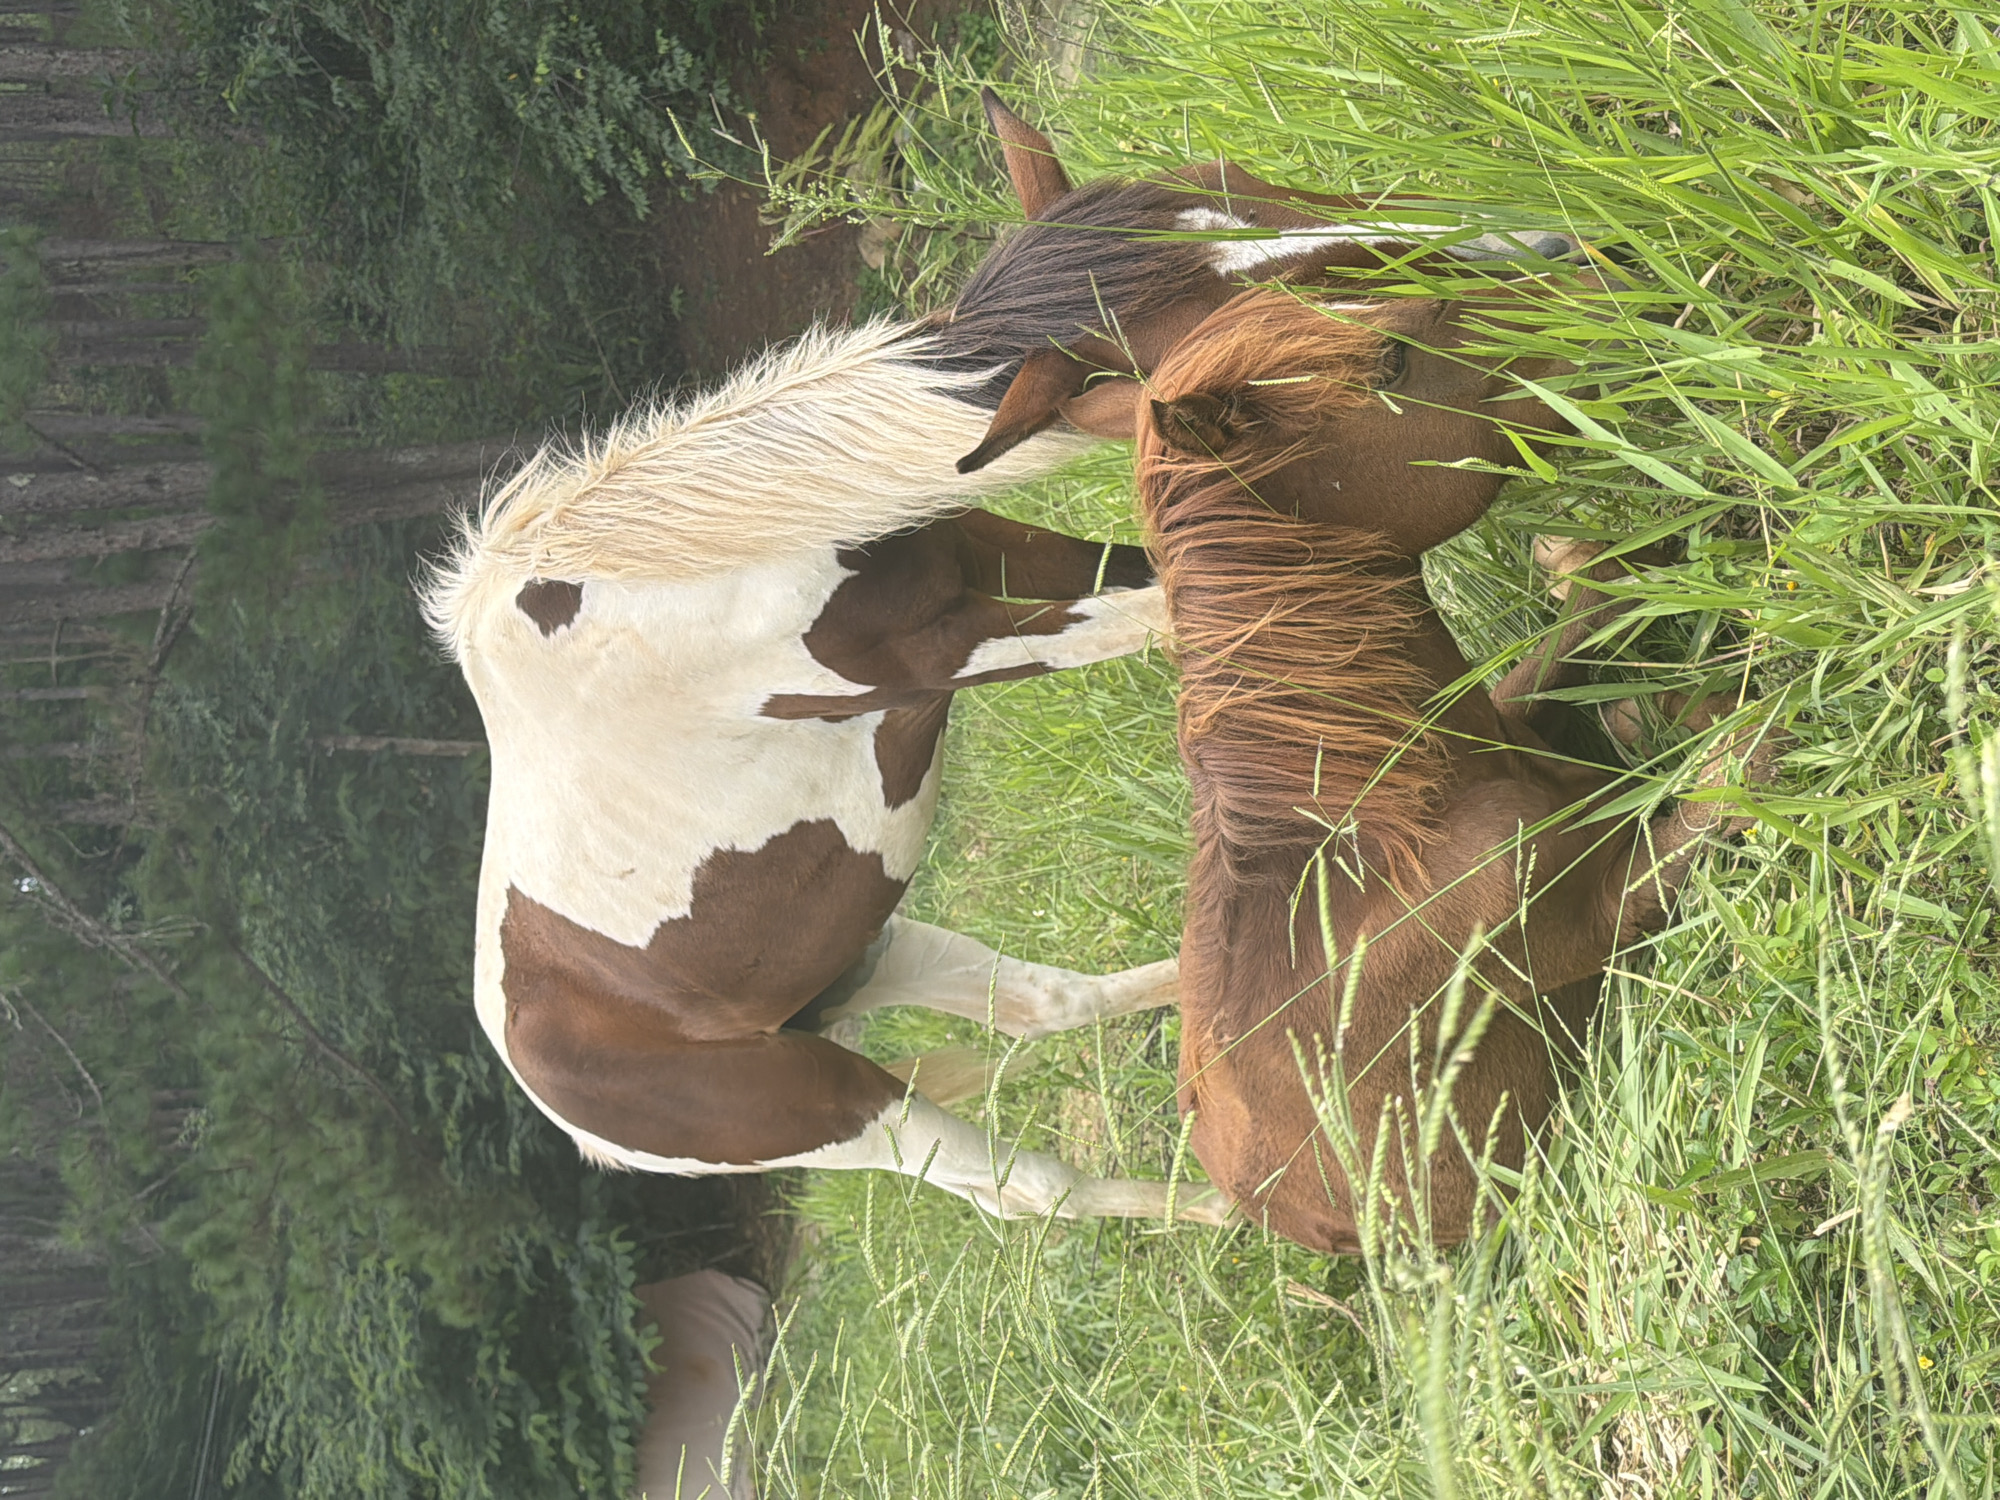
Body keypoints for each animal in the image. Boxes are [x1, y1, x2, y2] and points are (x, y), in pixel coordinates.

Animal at [422, 94, 1591, 1221]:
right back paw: (1216, 1211)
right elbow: (1165, 618)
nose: (1540, 240)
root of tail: (547, 1086)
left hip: (877, 955)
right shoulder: (960, 647)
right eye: (1220, 310)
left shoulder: (987, 546)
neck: (703, 566)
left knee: (1042, 1005)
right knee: (1031, 1194)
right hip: (829, 1112)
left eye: (1235, 181)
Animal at [1074, 283, 1772, 1250]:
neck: (1384, 831)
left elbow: (1591, 616)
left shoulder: (1514, 709)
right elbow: (1726, 774)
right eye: (1392, 361)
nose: (1584, 284)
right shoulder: (1603, 914)